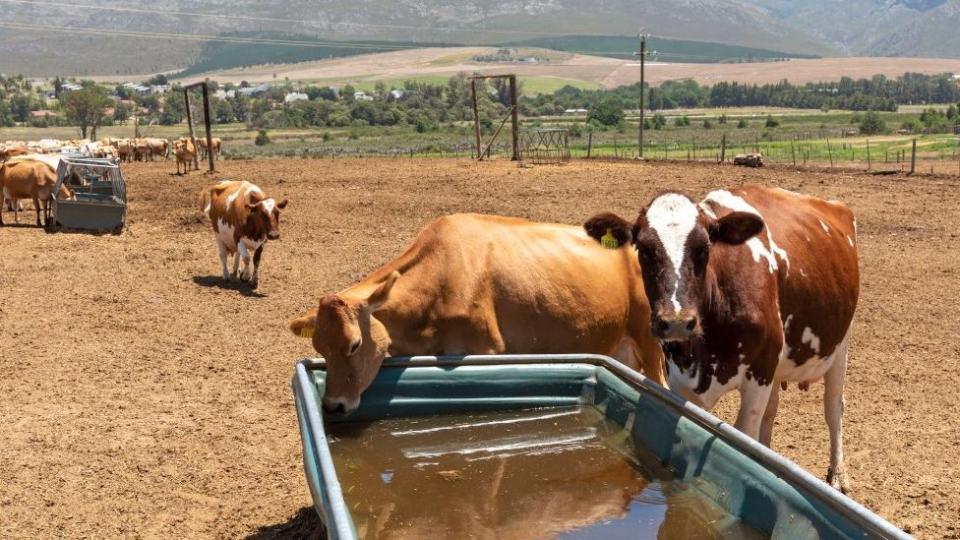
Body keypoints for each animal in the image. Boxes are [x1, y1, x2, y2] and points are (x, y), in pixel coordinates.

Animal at [288, 213, 672, 416]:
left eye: (354, 344)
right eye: (320, 347)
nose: (333, 405)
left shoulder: (485, 349)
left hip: (650, 341)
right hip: (620, 347)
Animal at [584, 187, 864, 494]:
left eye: (704, 248)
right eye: (643, 250)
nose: (677, 321)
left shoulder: (759, 372)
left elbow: (745, 435)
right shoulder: (681, 377)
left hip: (840, 346)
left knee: (834, 407)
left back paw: (838, 474)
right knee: (773, 411)